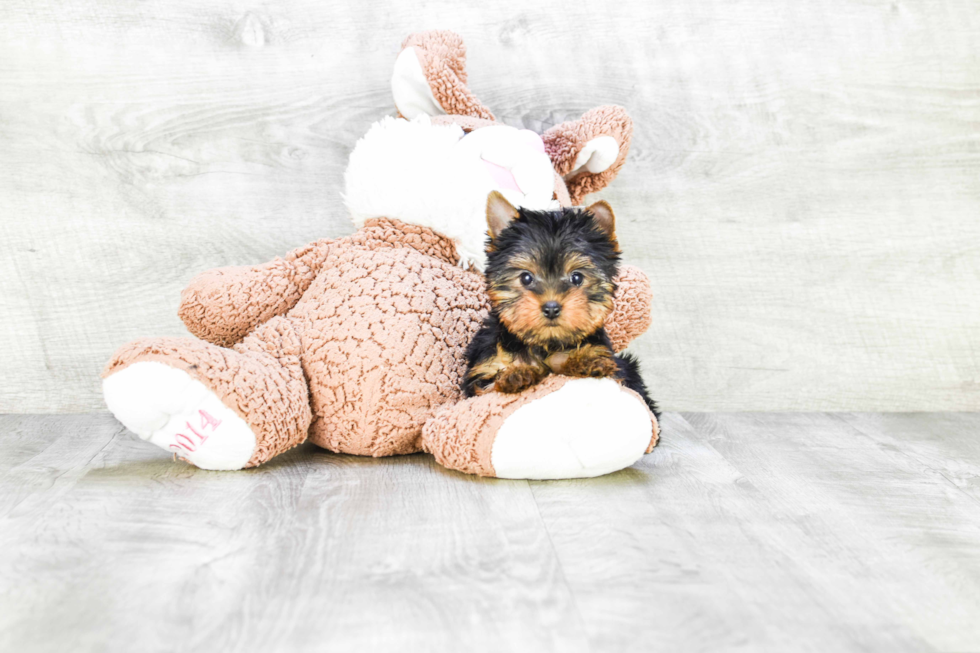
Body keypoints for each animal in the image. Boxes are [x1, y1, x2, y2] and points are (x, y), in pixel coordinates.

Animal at [466, 188, 660, 416]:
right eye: (526, 278)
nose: (551, 308)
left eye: (577, 278)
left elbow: (564, 361)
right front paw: (517, 373)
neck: (545, 344)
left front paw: (584, 361)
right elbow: (490, 384)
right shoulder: (484, 369)